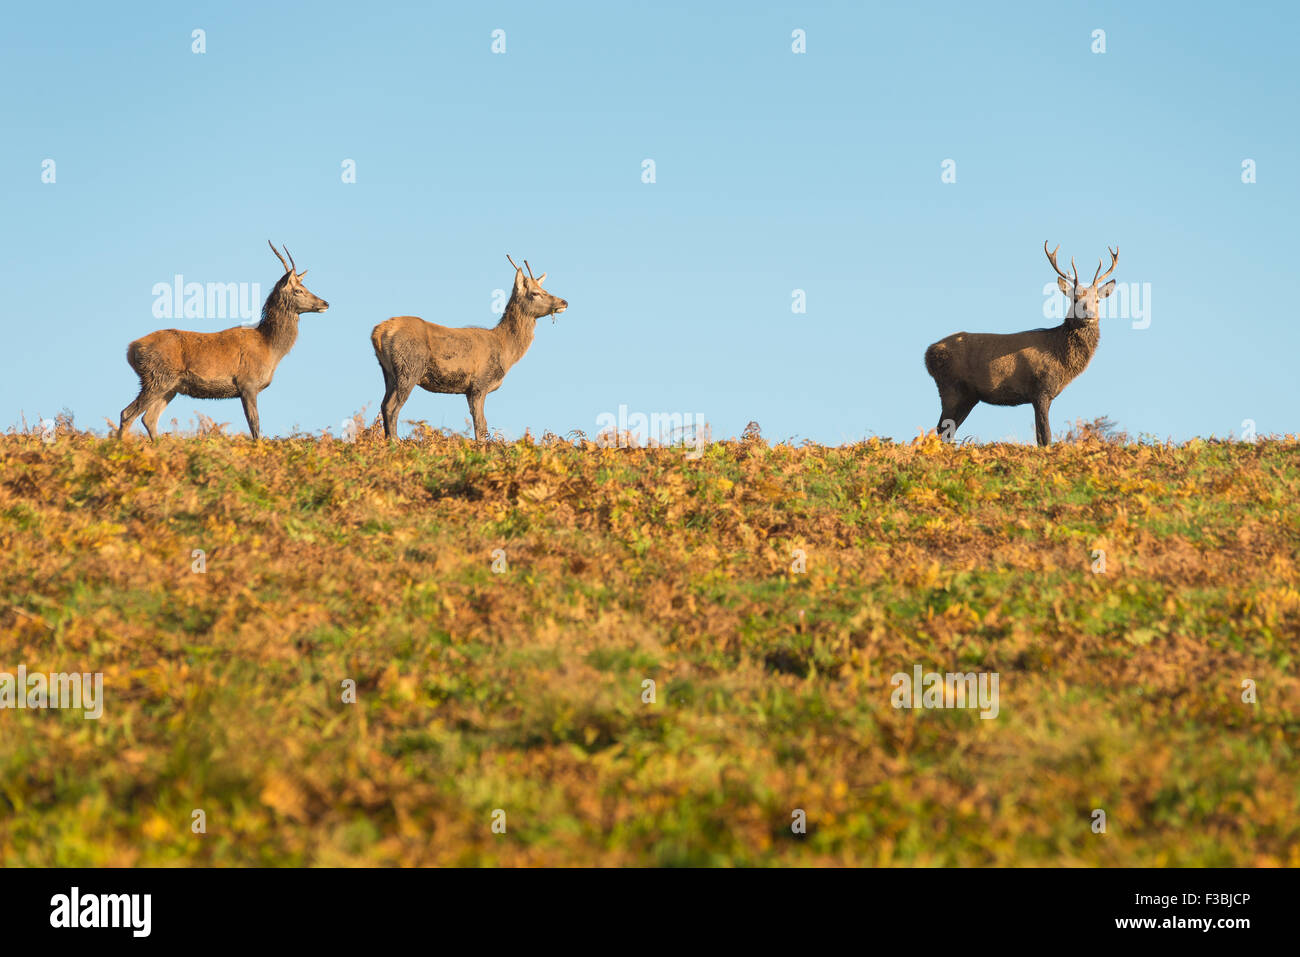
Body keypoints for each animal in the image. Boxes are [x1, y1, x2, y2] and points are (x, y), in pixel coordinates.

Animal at [119, 244, 327, 442]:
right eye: (298, 290)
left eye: (305, 287)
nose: (325, 303)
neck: (270, 348)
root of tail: (131, 349)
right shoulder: (247, 383)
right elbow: (255, 426)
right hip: (157, 377)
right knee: (127, 413)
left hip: (169, 386)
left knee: (149, 418)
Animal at [369, 257, 566, 444]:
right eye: (535, 293)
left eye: (545, 289)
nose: (564, 301)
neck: (505, 349)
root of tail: (377, 332)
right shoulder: (479, 383)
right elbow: (481, 425)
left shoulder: (469, 390)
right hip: (409, 367)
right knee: (392, 407)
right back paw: (395, 442)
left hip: (388, 372)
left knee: (383, 405)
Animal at [925, 240, 1118, 447]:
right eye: (1075, 299)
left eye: (1097, 300)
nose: (1089, 315)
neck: (1060, 355)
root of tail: (927, 355)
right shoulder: (1040, 389)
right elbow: (1045, 436)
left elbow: (1041, 437)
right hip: (950, 387)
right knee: (940, 430)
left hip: (968, 396)